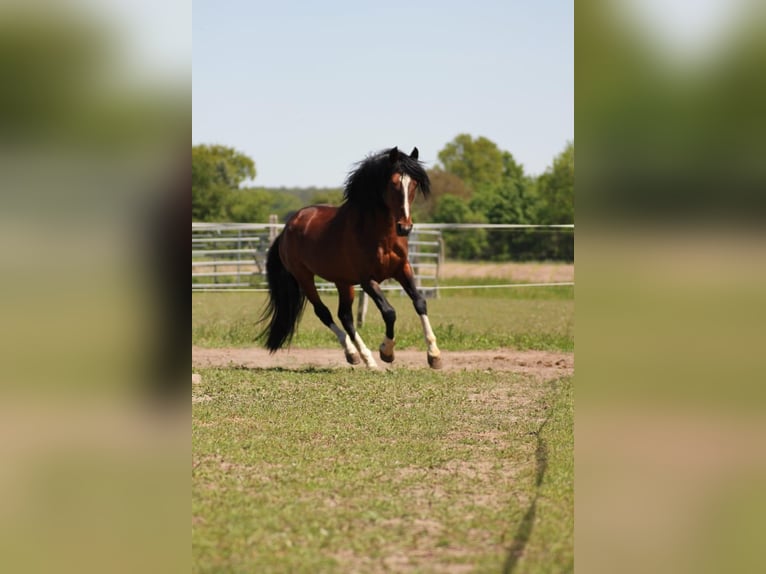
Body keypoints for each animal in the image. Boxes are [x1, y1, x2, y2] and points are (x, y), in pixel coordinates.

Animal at [260, 146, 444, 372]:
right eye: (393, 183)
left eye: (414, 184)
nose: (405, 227)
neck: (380, 235)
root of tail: (287, 228)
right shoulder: (367, 280)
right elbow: (389, 312)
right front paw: (387, 352)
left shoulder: (403, 269)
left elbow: (420, 302)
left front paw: (434, 355)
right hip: (304, 277)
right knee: (324, 312)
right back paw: (354, 354)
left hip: (343, 282)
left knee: (345, 316)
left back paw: (366, 359)